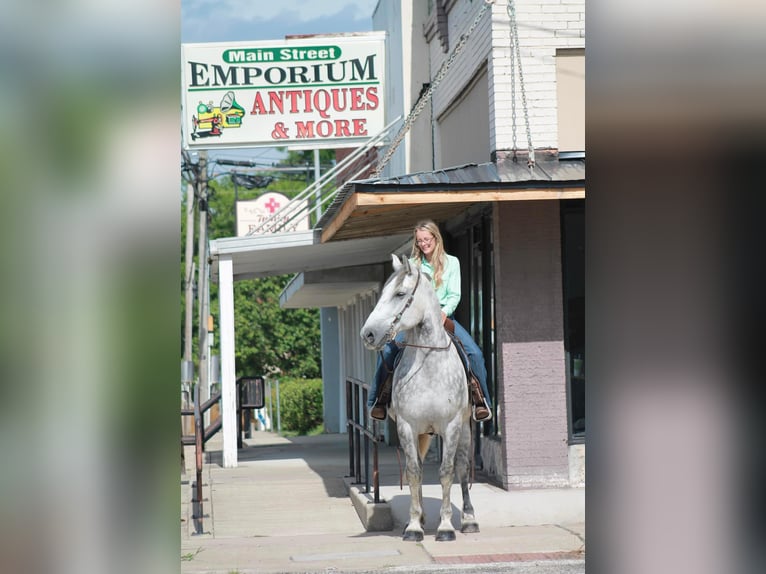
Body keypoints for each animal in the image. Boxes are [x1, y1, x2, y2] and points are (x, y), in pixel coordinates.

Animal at [362, 254, 480, 544]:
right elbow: (414, 472)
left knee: (462, 468)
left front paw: (446, 527)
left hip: (465, 428)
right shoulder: (407, 426)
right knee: (419, 466)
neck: (428, 363)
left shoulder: (451, 426)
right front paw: (414, 526)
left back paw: (469, 520)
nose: (368, 334)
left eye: (400, 293)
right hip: (422, 432)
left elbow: (447, 472)